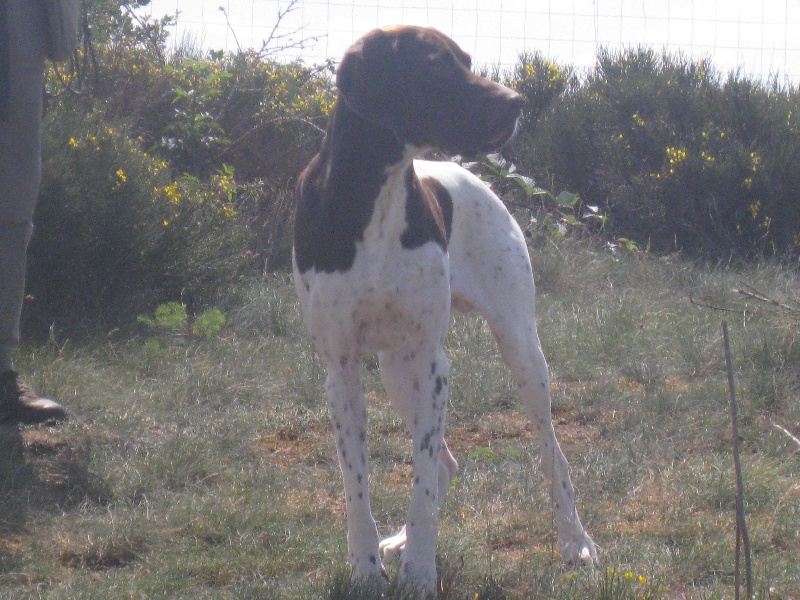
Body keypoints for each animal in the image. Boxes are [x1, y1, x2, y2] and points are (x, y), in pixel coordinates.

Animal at [294, 24, 592, 596]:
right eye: (434, 67)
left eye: (468, 61)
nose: (517, 102)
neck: (377, 198)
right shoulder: (341, 370)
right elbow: (357, 485)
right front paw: (367, 567)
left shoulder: (433, 363)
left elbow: (423, 486)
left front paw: (419, 572)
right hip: (395, 369)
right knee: (446, 465)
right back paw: (399, 539)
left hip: (519, 351)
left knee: (551, 455)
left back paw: (575, 541)